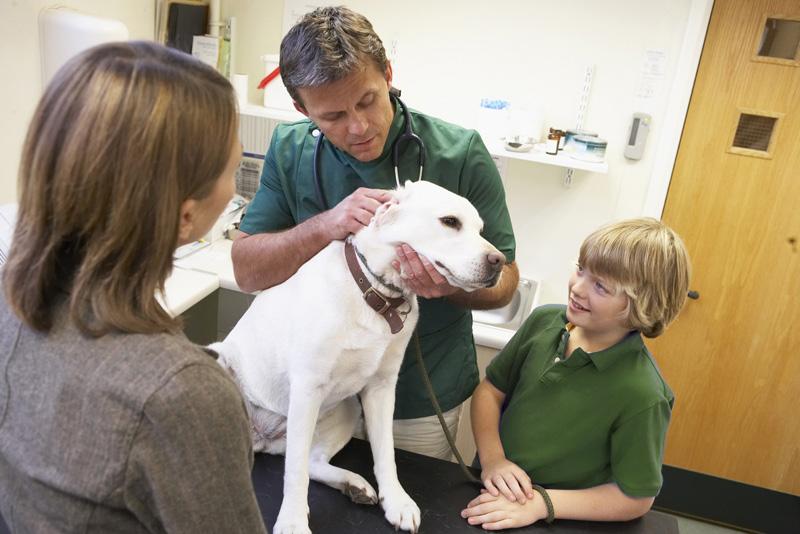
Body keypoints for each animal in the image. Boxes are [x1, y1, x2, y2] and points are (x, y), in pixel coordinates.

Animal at [209, 181, 504, 534]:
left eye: (480, 229)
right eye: (450, 222)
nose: (500, 261)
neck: (377, 293)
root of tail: (262, 440)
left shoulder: (381, 389)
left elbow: (385, 453)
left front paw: (397, 501)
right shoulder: (307, 388)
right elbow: (294, 474)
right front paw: (293, 520)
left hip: (347, 408)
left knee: (312, 462)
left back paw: (354, 485)